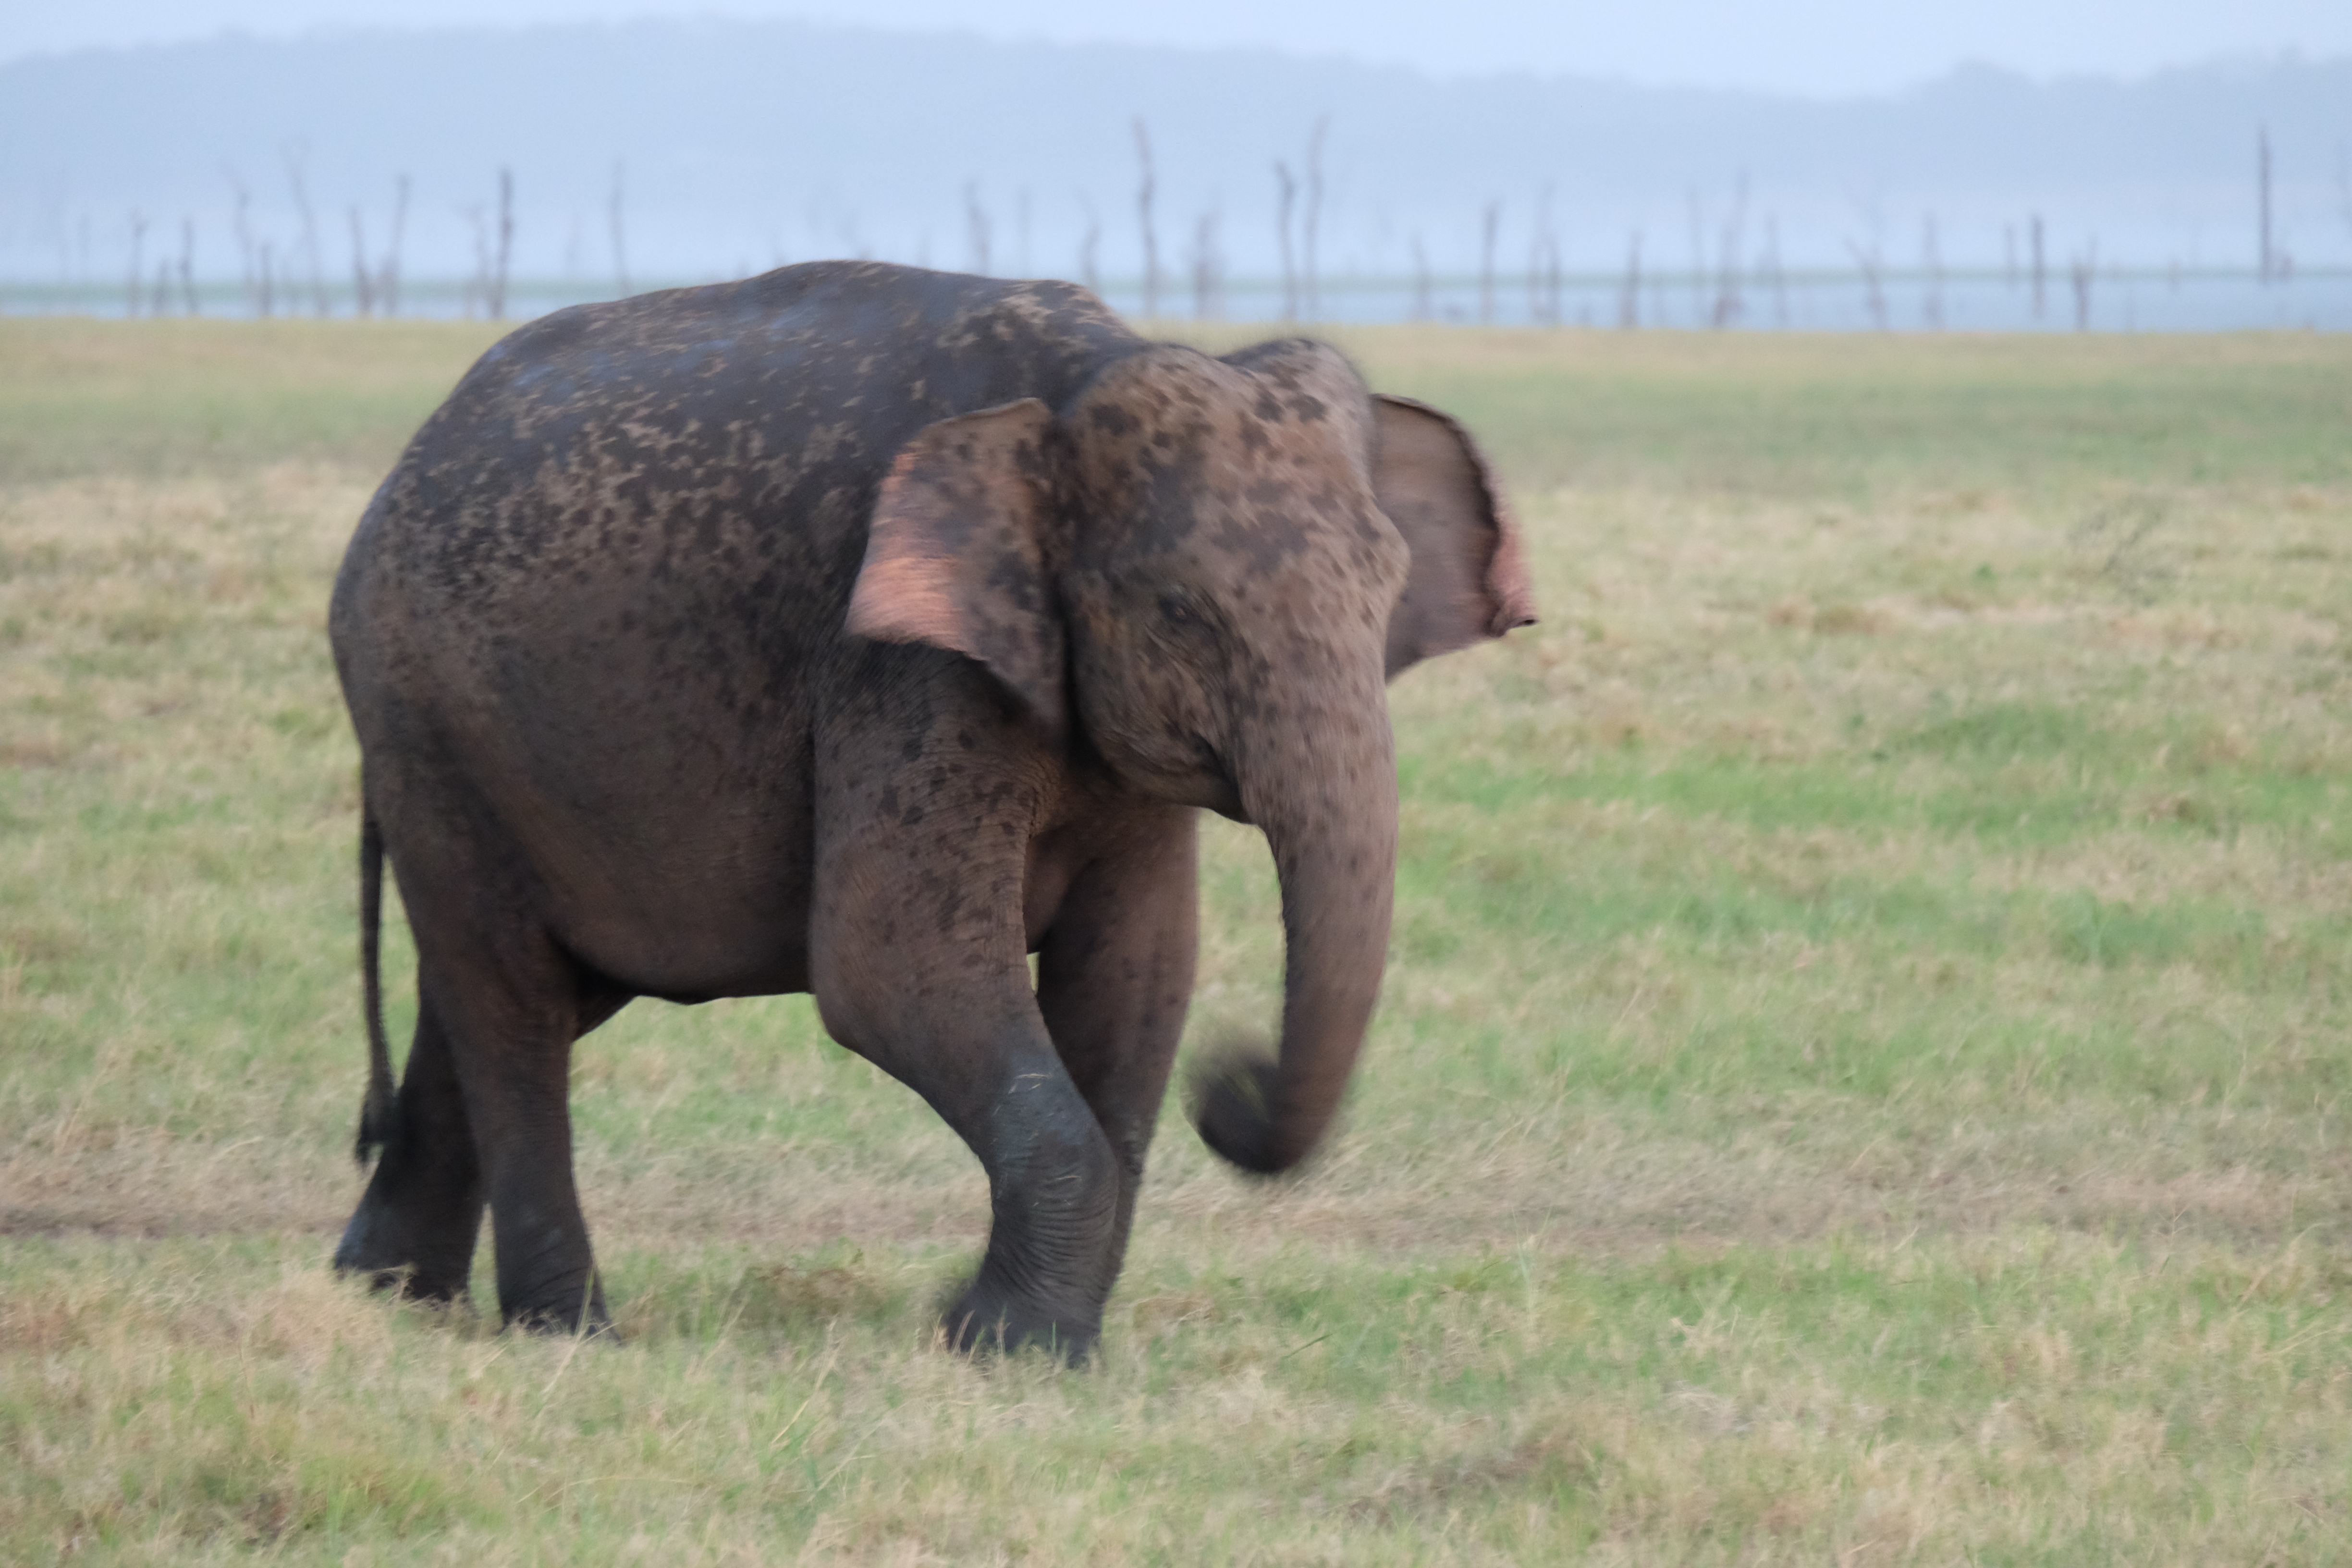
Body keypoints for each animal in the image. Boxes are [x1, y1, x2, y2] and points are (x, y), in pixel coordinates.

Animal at [328, 260, 1536, 1360]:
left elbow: (1138, 974)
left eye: (1386, 597)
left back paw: (387, 1296)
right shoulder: (898, 666)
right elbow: (888, 969)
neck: (1077, 379)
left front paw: (1032, 1340)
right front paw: (996, 1342)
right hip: (429, 729)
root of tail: (402, 470)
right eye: (1180, 612)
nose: (1231, 1085)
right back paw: (567, 1331)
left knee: (507, 993)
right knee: (512, 999)